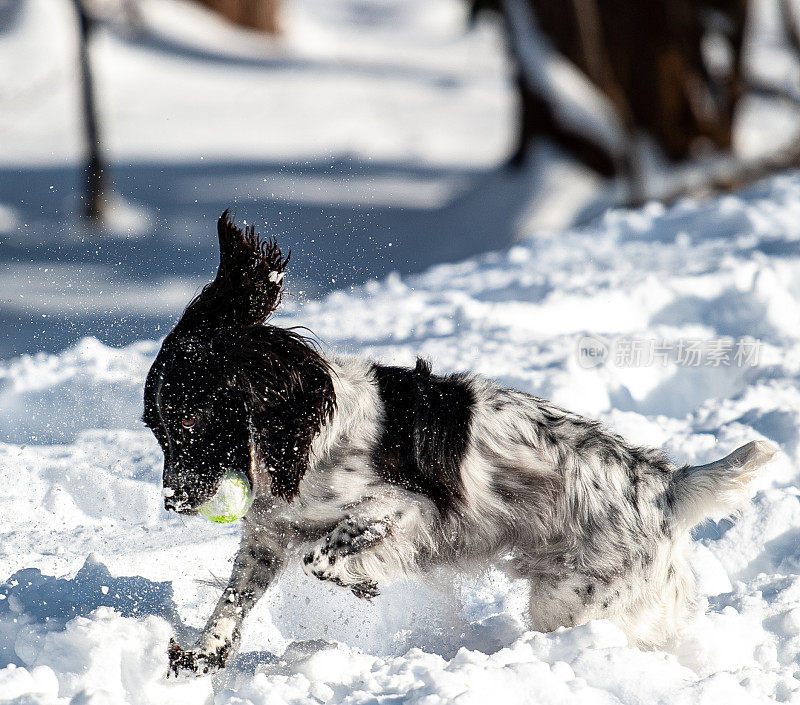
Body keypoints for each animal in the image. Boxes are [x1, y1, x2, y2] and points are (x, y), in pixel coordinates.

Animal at [144, 210, 776, 676]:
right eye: (155, 428)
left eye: (191, 423)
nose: (173, 500)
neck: (298, 435)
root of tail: (668, 484)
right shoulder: (268, 534)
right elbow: (233, 601)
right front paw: (199, 657)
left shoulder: (403, 507)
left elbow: (323, 556)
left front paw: (364, 581)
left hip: (574, 598)